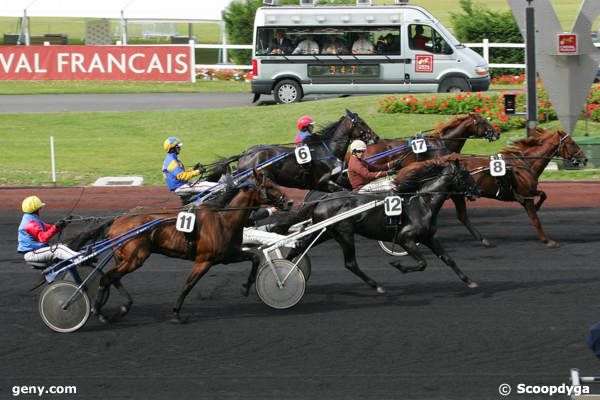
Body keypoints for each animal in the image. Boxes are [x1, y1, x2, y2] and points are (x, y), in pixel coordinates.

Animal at [88, 172, 290, 324]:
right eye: (270, 186)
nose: (289, 202)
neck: (223, 220)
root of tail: (118, 219)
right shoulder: (205, 260)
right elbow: (188, 285)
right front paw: (176, 313)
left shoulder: (227, 255)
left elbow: (254, 258)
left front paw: (246, 287)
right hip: (135, 258)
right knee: (106, 278)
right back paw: (99, 312)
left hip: (124, 258)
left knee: (113, 278)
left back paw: (122, 306)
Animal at [230, 108, 380, 191]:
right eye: (361, 122)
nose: (376, 137)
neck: (328, 150)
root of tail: (244, 155)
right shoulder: (323, 182)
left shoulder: (338, 178)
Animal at [278, 156, 480, 294]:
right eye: (464, 176)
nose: (477, 190)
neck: (422, 203)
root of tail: (322, 199)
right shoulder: (405, 238)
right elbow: (422, 263)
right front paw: (398, 264)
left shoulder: (428, 237)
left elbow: (448, 258)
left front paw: (469, 280)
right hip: (344, 233)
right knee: (350, 263)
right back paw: (377, 286)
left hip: (325, 231)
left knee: (299, 247)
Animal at [452, 129, 588, 247]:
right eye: (572, 143)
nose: (585, 159)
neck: (524, 164)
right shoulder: (527, 196)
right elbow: (535, 219)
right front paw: (547, 240)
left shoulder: (527, 193)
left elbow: (543, 194)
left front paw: (538, 206)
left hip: (457, 195)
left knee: (462, 216)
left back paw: (483, 240)